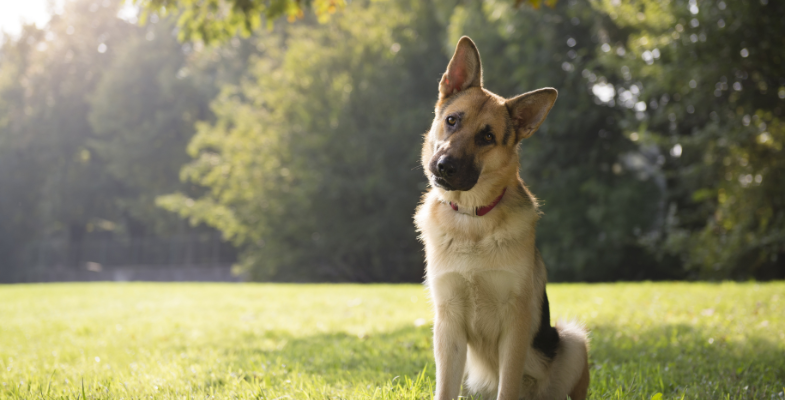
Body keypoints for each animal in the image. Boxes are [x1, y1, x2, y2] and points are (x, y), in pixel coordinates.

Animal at [416, 37, 588, 400]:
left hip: (573, 340)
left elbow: (507, 386)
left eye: (487, 137)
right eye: (452, 120)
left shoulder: (516, 324)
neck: (472, 219)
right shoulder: (448, 326)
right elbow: (445, 388)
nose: (444, 167)